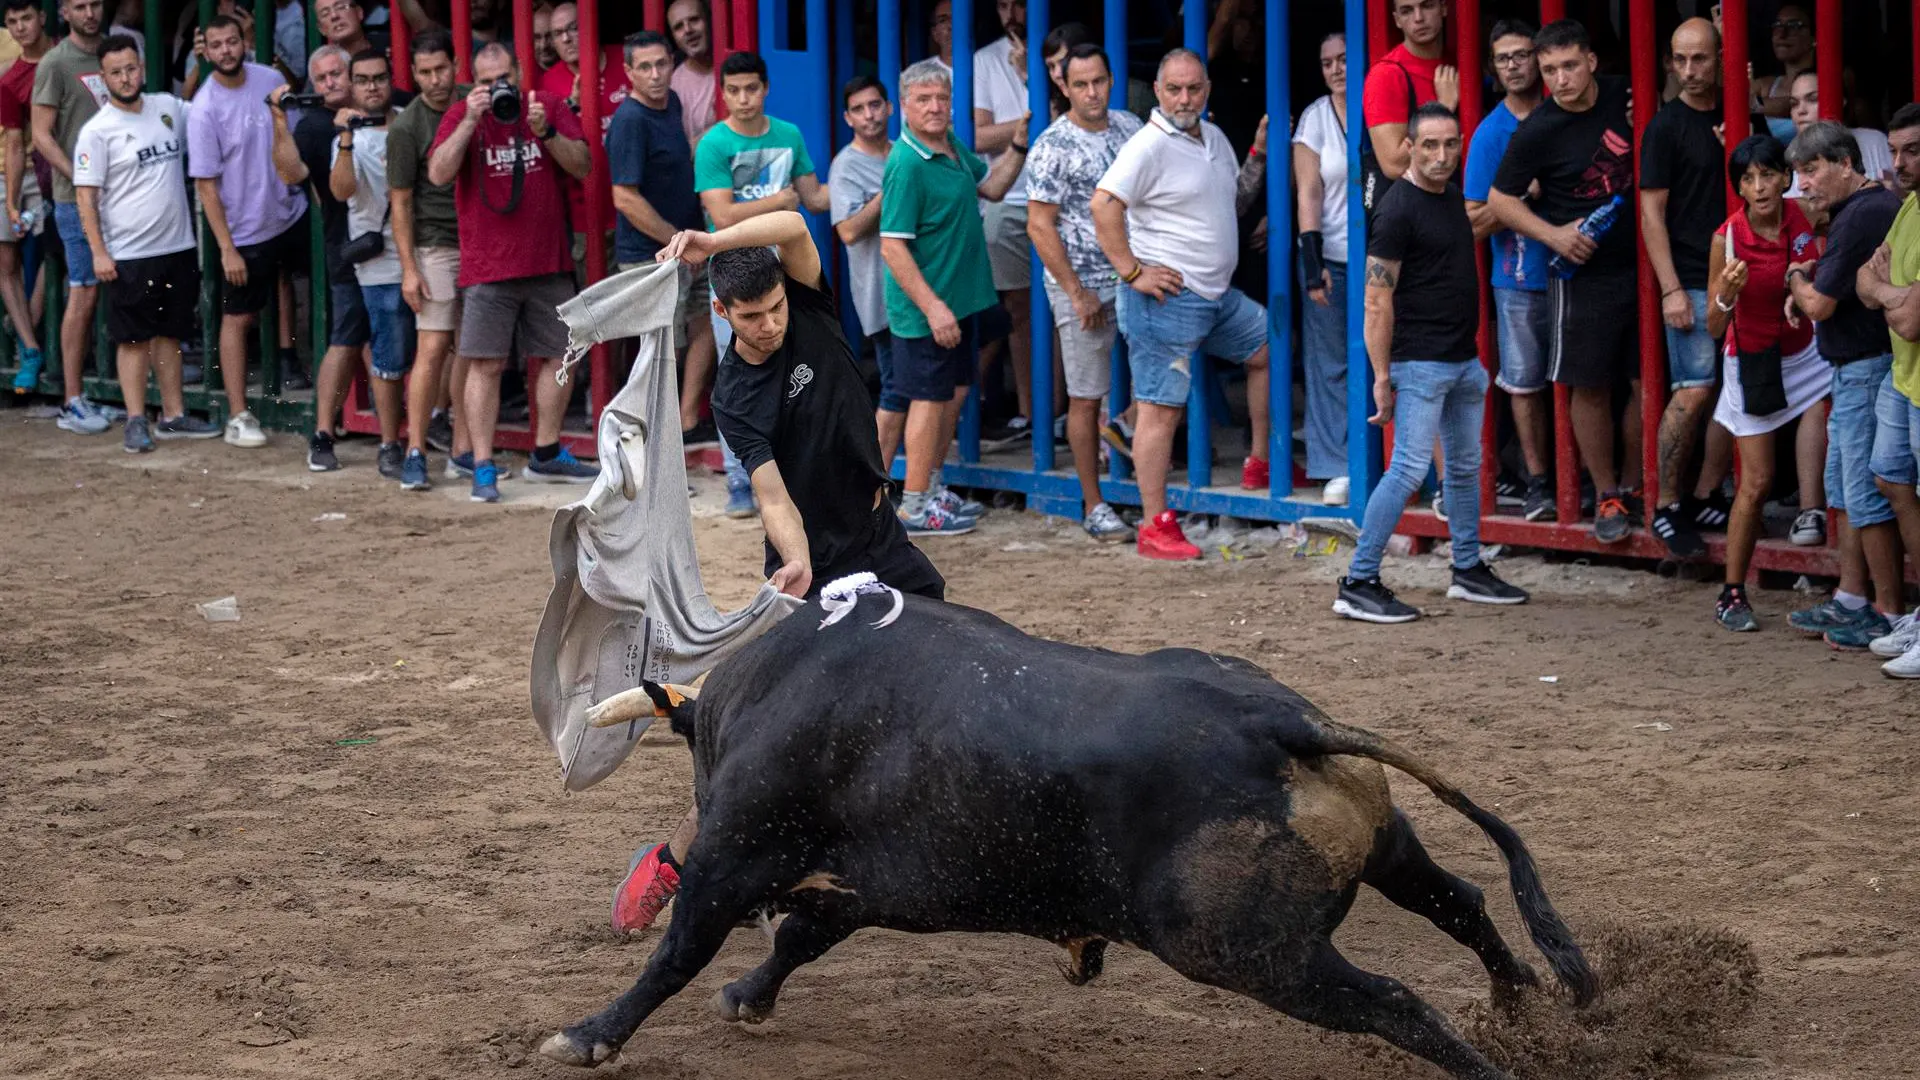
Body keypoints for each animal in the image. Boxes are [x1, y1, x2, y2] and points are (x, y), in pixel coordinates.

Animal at [537, 591, 1589, 1068]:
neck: (768, 693)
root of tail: (1280, 724)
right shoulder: (858, 885)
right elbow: (798, 937)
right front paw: (748, 996)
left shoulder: (735, 858)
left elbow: (681, 951)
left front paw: (589, 1035)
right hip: (1383, 849)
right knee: (1463, 899)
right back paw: (1523, 1004)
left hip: (1251, 953)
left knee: (1397, 1004)